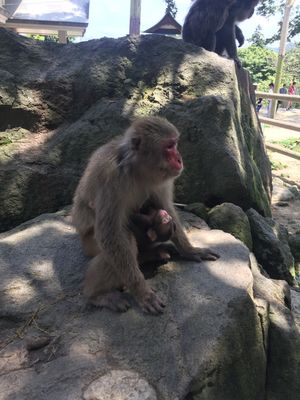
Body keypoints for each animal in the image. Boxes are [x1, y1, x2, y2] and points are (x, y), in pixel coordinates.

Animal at [72, 117, 218, 314]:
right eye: (169, 146)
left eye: (175, 144)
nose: (179, 159)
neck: (137, 169)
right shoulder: (111, 178)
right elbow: (110, 234)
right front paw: (142, 293)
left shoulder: (163, 179)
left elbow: (167, 207)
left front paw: (190, 250)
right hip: (88, 243)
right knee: (123, 240)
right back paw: (97, 294)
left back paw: (153, 252)